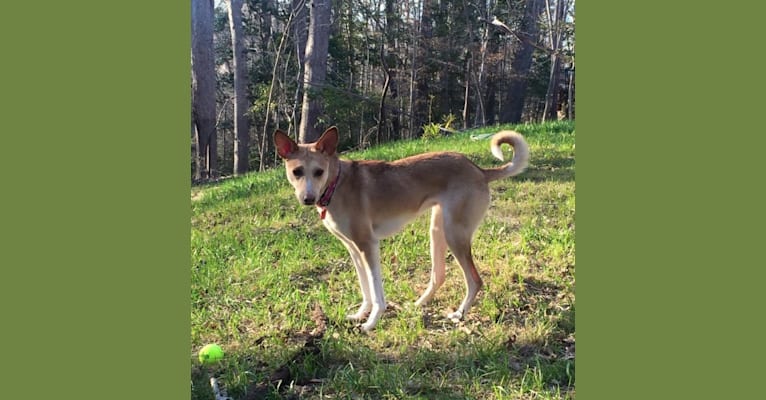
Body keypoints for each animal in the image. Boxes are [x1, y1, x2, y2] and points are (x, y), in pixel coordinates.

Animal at [276, 127, 536, 332]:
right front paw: (360, 314)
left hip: (455, 234)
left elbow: (377, 292)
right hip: (438, 230)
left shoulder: (368, 245)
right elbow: (365, 289)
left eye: (318, 171)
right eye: (297, 171)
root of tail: (480, 171)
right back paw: (419, 305)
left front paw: (371, 323)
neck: (336, 183)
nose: (308, 199)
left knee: (475, 281)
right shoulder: (353, 249)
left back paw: (458, 315)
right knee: (439, 276)